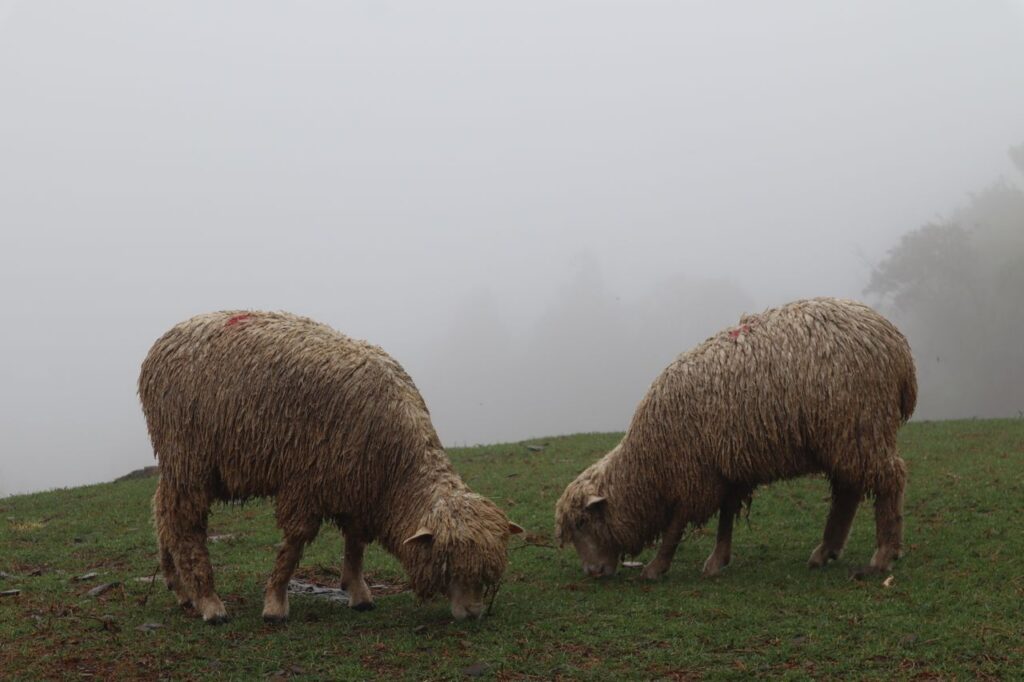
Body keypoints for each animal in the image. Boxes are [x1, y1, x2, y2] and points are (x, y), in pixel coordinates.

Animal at [139, 310, 522, 624]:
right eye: (449, 564)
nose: (474, 614)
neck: (395, 468)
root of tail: (164, 341)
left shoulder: (355, 484)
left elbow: (355, 542)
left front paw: (358, 592)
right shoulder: (306, 481)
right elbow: (295, 544)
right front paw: (275, 603)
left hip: (185, 462)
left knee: (162, 511)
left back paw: (180, 589)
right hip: (190, 456)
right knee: (185, 524)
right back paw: (209, 602)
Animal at [555, 297, 916, 580]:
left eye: (583, 523)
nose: (592, 572)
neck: (650, 459)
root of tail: (898, 347)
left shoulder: (695, 473)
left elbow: (676, 524)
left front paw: (657, 566)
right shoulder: (726, 466)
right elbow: (726, 515)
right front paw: (718, 560)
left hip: (860, 425)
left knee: (889, 479)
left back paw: (883, 555)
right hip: (843, 436)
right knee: (848, 490)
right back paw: (826, 550)